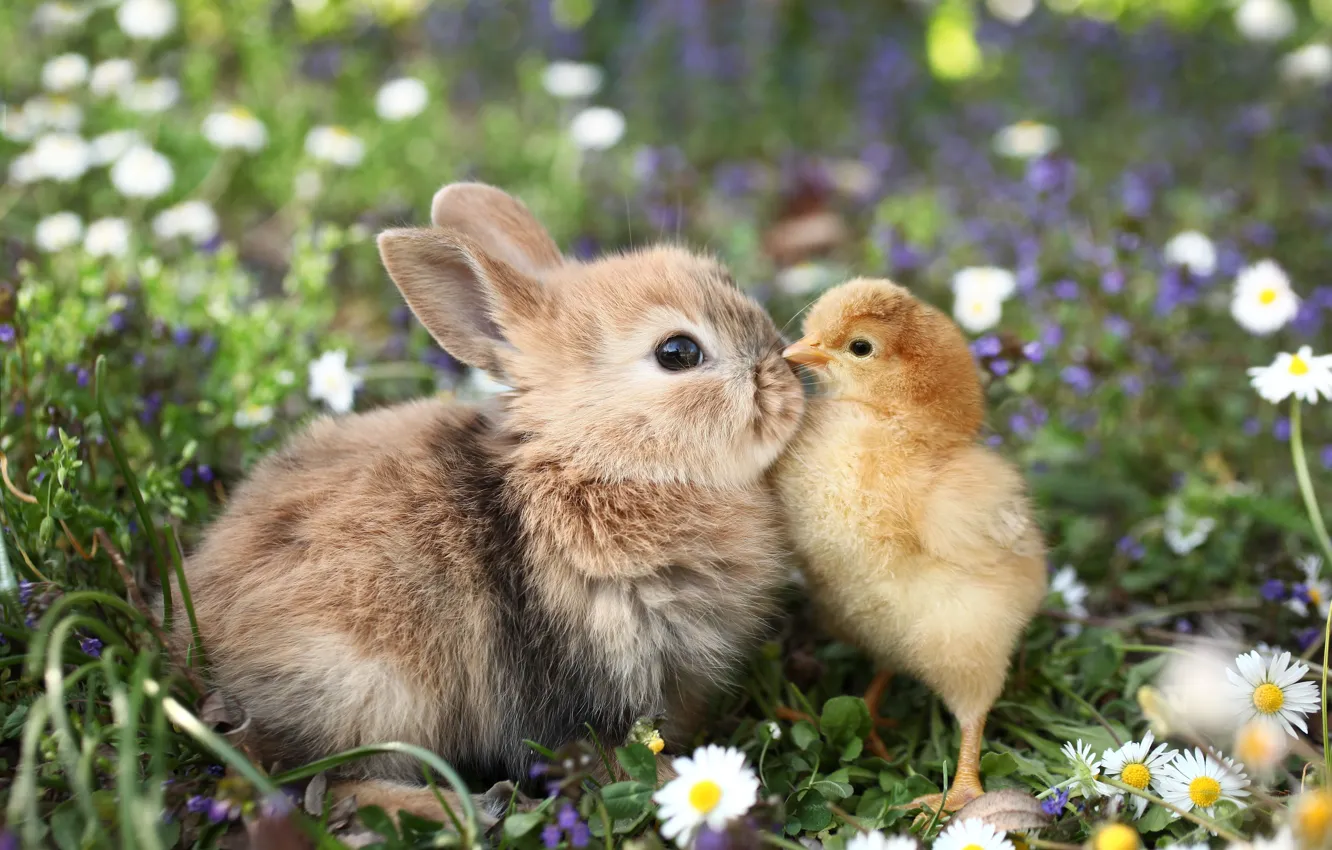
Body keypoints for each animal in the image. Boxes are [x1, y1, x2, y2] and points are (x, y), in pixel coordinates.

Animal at [170, 182, 806, 821]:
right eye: (678, 352)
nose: (786, 374)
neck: (593, 459)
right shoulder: (576, 680)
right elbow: (600, 753)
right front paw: (686, 784)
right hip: (369, 687)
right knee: (326, 784)